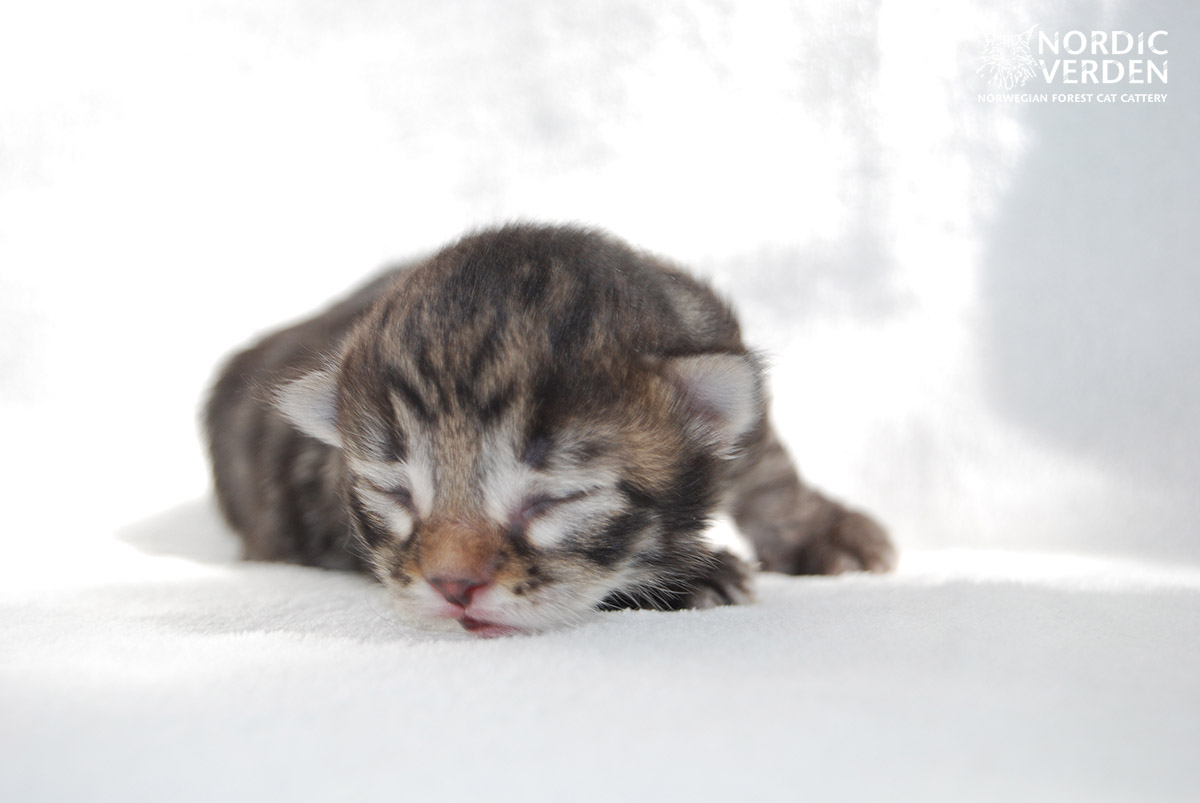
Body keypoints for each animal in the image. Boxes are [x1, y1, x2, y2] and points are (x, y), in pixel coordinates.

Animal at [204, 224, 895, 636]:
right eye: (395, 494)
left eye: (556, 499)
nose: (453, 588)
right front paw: (696, 574)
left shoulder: (713, 331)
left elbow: (764, 457)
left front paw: (826, 532)